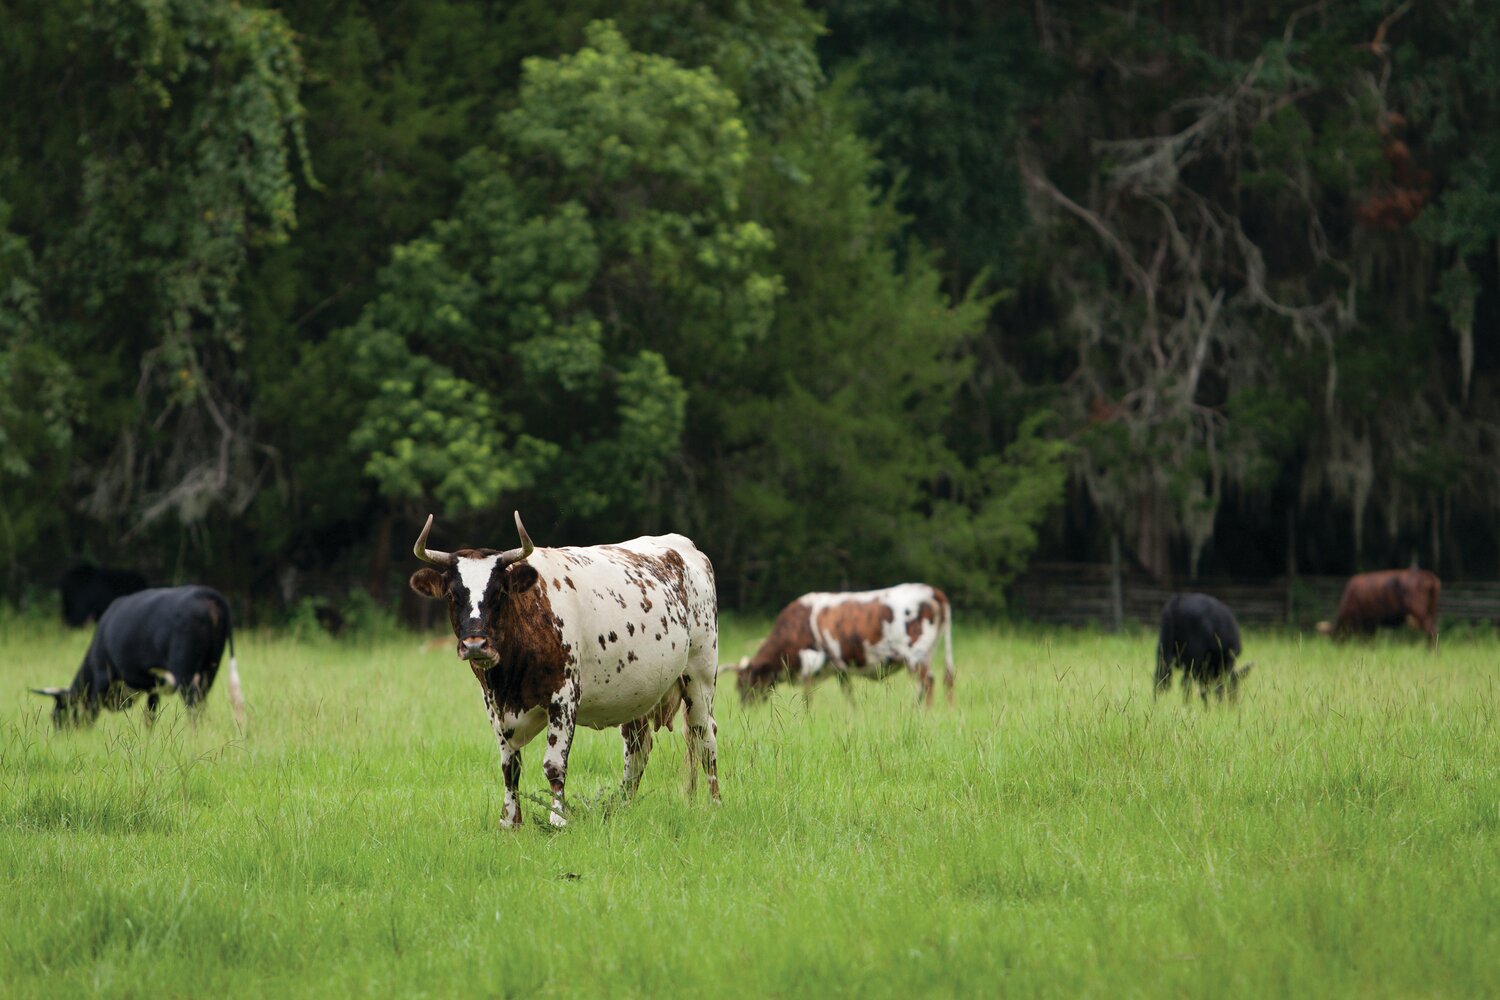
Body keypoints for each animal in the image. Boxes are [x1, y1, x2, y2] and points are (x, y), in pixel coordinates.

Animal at [32, 586, 244, 729]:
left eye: (60, 712)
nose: (61, 735)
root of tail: (206, 592)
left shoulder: (102, 677)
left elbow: (92, 709)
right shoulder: (154, 685)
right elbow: (150, 716)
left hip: (185, 673)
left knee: (193, 705)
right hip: (210, 668)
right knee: (201, 702)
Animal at [407, 512, 720, 829]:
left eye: (499, 593)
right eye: (452, 595)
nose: (475, 644)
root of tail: (685, 546)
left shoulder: (564, 696)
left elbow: (553, 765)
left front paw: (557, 819)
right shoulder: (494, 706)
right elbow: (510, 766)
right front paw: (510, 821)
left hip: (700, 678)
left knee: (705, 739)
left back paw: (713, 805)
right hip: (639, 695)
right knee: (638, 751)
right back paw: (622, 809)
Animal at [730, 585, 954, 707]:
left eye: (746, 683)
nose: (744, 708)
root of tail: (931, 591)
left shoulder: (810, 665)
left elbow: (807, 699)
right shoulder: (840, 670)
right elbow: (849, 696)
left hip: (916, 655)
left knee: (927, 683)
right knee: (943, 680)